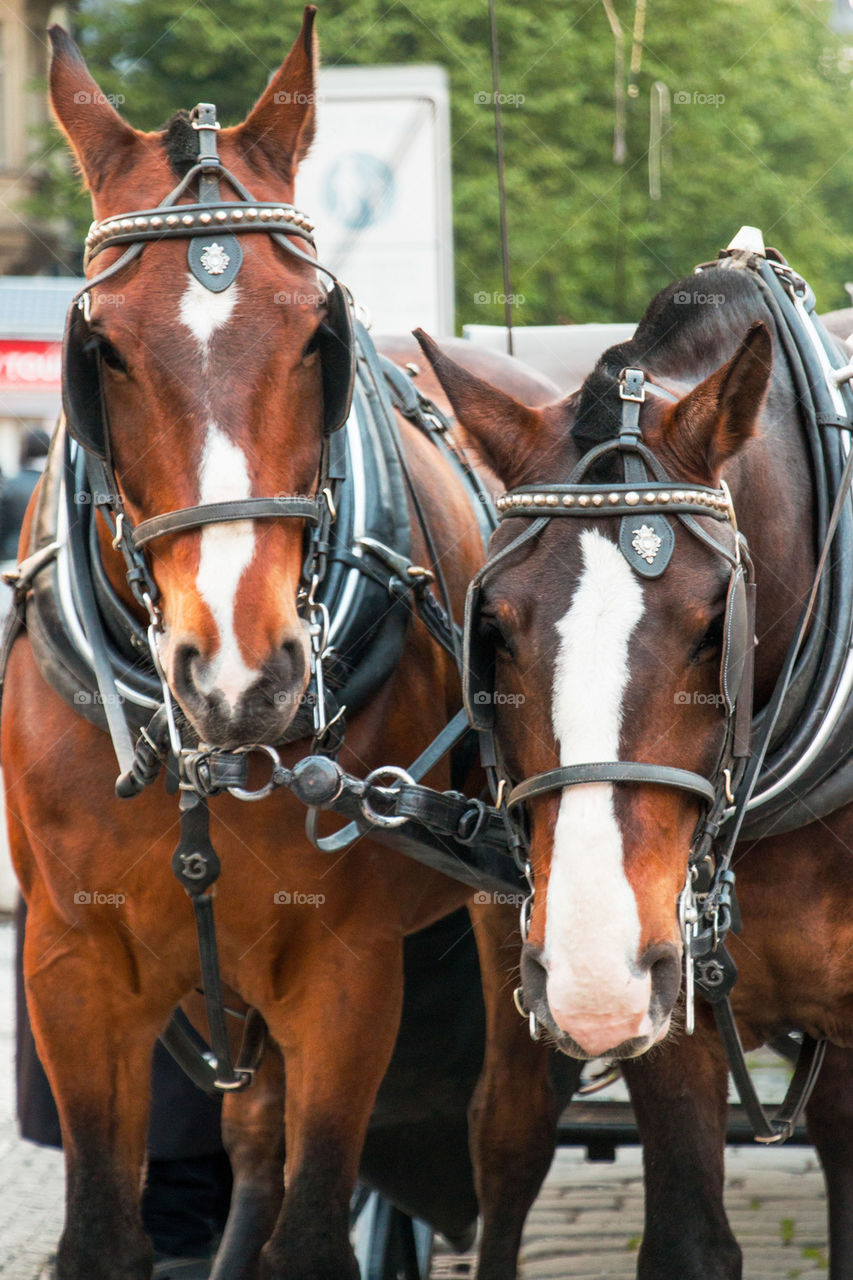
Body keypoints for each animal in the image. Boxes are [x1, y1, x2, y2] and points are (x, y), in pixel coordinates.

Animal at [4, 12, 571, 1280]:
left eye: (319, 330)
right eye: (102, 348)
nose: (240, 674)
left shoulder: (343, 972)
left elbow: (317, 1229)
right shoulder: (72, 965)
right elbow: (107, 1226)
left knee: (506, 1137)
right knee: (254, 1141)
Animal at [417, 252, 853, 1280]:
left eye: (711, 627)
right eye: (491, 630)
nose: (592, 968)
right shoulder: (666, 1007)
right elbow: (687, 1240)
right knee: (508, 1135)